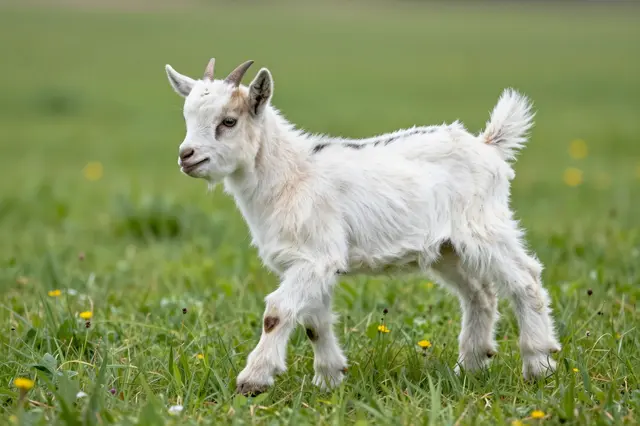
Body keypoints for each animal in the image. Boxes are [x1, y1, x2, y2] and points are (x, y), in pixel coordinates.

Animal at [164, 58, 561, 395]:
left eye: (229, 121)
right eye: (186, 117)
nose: (186, 156)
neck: (291, 174)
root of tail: (488, 145)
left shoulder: (315, 258)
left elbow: (277, 312)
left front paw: (253, 380)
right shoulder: (312, 263)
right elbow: (314, 322)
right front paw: (329, 380)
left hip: (483, 227)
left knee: (526, 278)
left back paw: (538, 365)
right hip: (446, 248)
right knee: (480, 293)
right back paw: (470, 367)